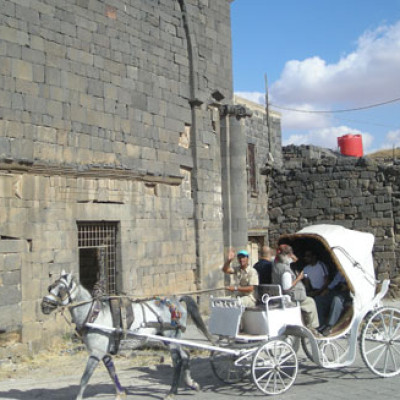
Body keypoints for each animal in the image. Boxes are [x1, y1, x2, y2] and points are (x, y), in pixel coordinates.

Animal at [41, 272, 212, 400]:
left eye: (61, 289)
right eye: (50, 287)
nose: (44, 305)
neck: (94, 315)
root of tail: (175, 301)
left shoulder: (96, 353)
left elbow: (85, 378)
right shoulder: (104, 352)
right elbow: (111, 371)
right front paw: (120, 393)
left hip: (172, 338)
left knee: (177, 361)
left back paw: (171, 392)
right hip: (169, 339)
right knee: (186, 355)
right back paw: (190, 383)